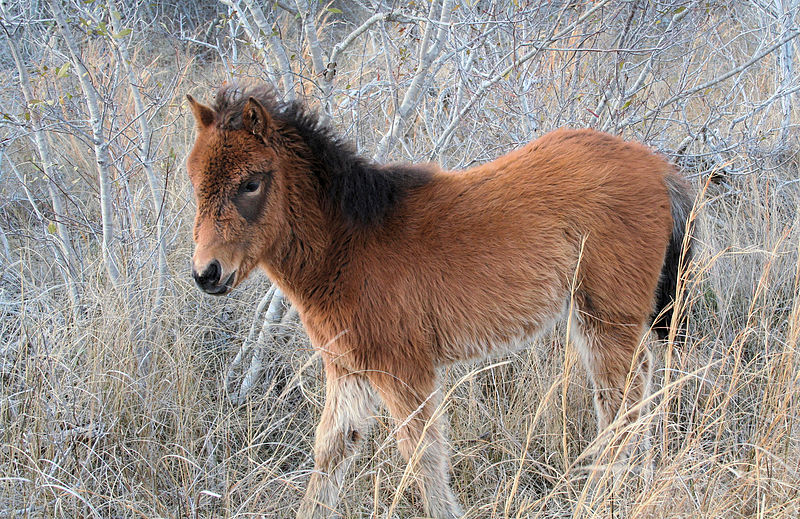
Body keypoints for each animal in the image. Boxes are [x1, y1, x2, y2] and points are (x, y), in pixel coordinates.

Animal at [188, 83, 692, 516]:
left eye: (251, 183)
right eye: (194, 182)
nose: (207, 274)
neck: (348, 242)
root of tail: (661, 168)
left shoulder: (403, 370)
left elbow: (422, 456)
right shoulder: (349, 370)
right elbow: (332, 450)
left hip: (604, 319)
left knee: (622, 402)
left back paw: (599, 494)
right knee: (639, 389)